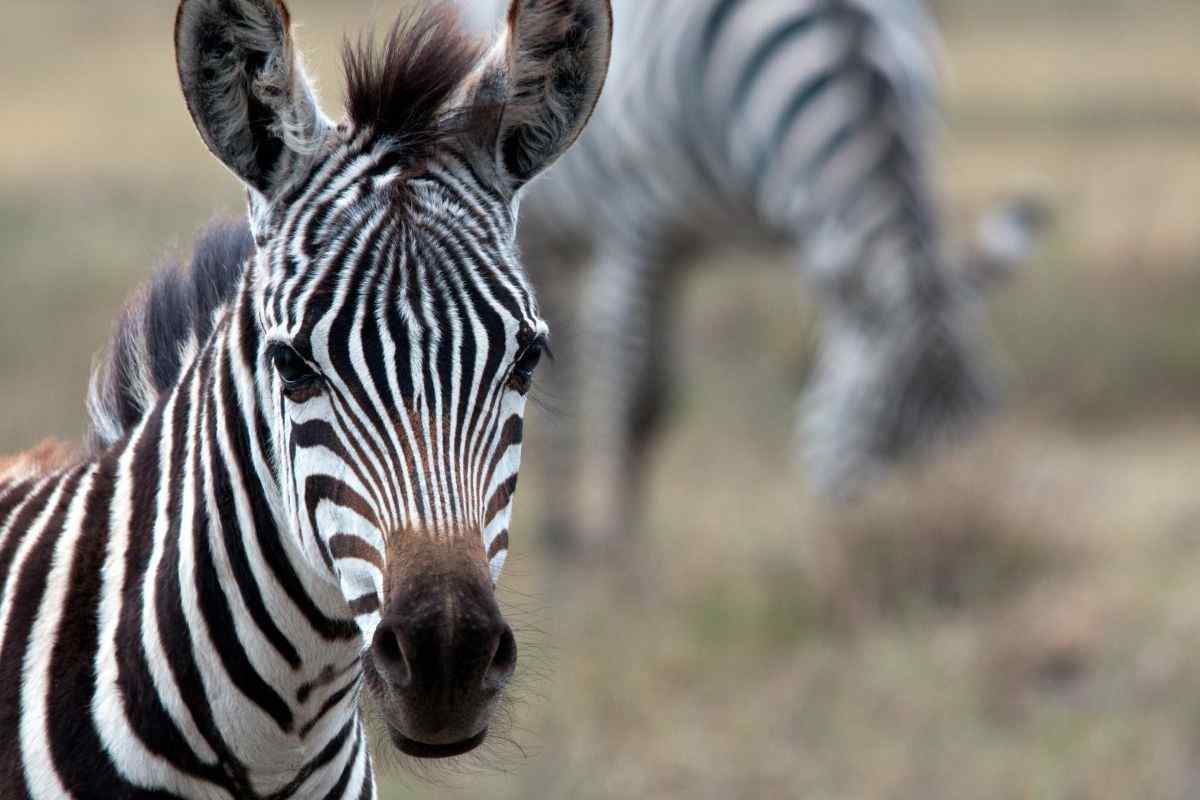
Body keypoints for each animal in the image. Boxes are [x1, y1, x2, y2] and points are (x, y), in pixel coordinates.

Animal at [459, 0, 1049, 551]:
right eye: (875, 417)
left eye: (986, 409)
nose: (942, 527)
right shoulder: (639, 223)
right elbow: (637, 404)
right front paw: (623, 556)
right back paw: (560, 535)